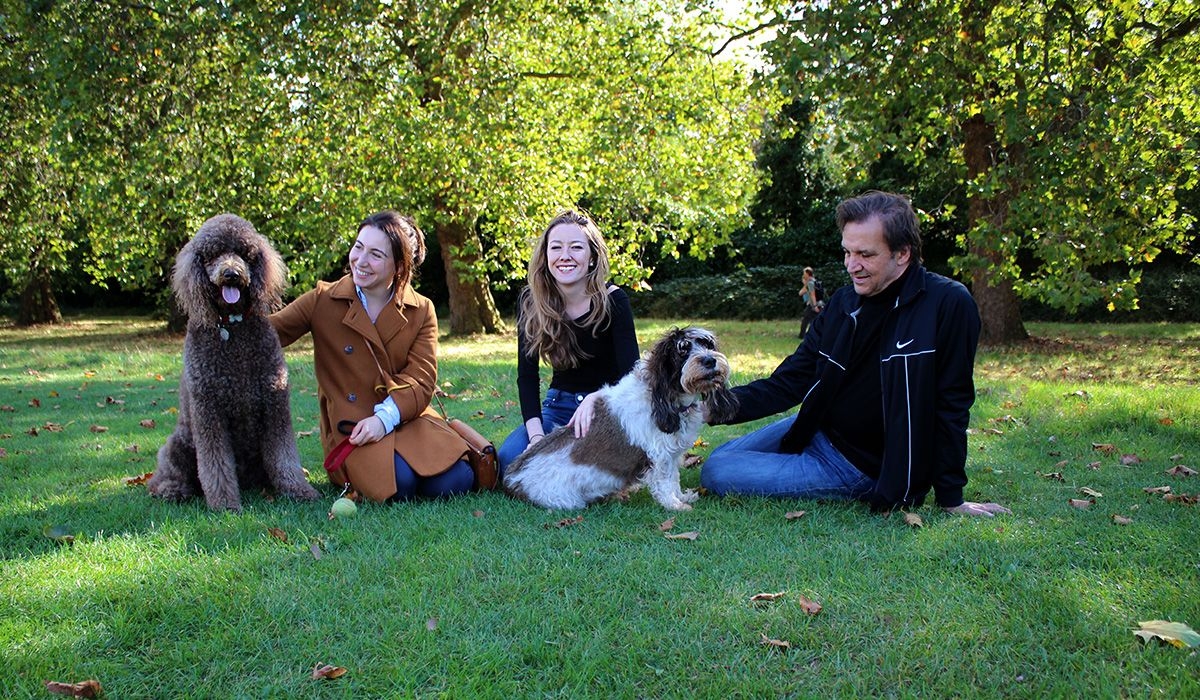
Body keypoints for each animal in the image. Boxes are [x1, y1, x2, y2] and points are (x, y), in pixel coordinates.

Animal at [147, 211, 319, 511]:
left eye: (244, 253)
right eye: (213, 254)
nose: (231, 273)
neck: (233, 325)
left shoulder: (274, 407)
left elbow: (284, 457)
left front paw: (298, 490)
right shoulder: (209, 412)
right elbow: (215, 464)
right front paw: (225, 504)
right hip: (179, 443)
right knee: (165, 475)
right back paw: (171, 490)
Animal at [501, 326, 734, 511]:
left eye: (707, 344)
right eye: (682, 350)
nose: (710, 360)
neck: (663, 397)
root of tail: (513, 480)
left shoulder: (671, 455)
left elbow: (674, 478)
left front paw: (681, 497)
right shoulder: (659, 457)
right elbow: (665, 482)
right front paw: (674, 505)